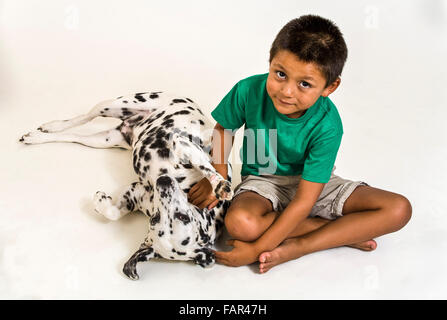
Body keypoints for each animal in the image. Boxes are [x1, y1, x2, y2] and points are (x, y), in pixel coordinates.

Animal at [19, 92, 234, 280]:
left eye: (155, 219)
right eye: (183, 217)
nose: (162, 181)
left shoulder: (135, 192)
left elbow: (113, 213)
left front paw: (100, 201)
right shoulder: (182, 144)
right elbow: (208, 167)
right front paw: (219, 185)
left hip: (102, 140)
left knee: (72, 136)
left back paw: (39, 136)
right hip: (114, 105)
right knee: (83, 118)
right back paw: (51, 126)